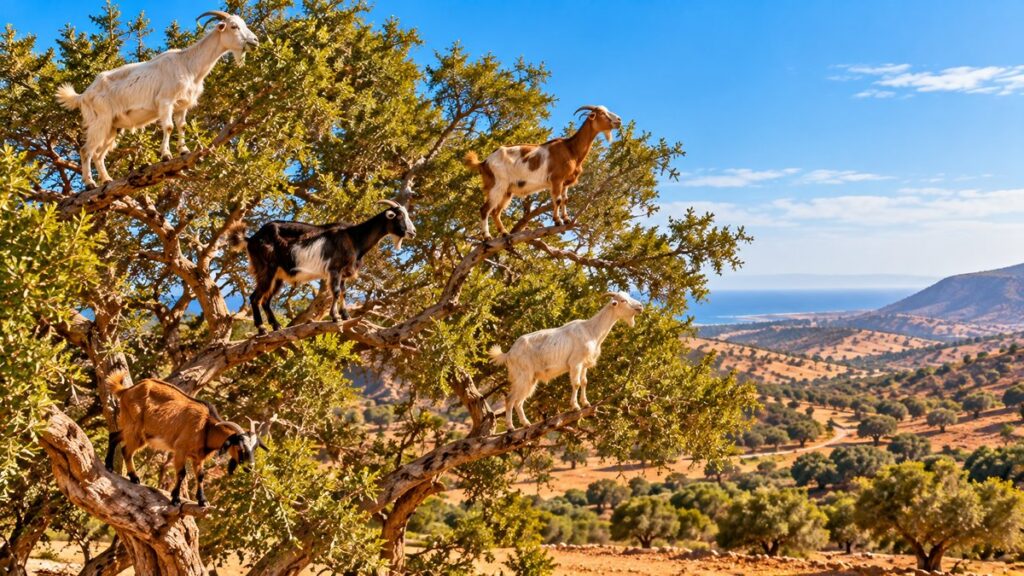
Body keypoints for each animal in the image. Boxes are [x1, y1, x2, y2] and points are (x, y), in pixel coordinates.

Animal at [56, 10, 259, 188]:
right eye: (233, 26)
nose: (255, 41)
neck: (188, 64)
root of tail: (83, 95)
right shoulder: (165, 101)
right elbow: (168, 127)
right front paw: (166, 155)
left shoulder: (181, 105)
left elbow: (182, 126)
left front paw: (184, 150)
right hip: (100, 121)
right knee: (86, 150)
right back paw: (90, 184)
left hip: (113, 127)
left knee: (99, 154)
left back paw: (106, 180)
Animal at [103, 372, 266, 506]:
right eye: (239, 446)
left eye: (255, 447)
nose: (250, 466)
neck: (206, 427)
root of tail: (125, 391)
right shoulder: (180, 449)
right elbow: (182, 473)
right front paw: (175, 499)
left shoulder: (198, 457)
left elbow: (200, 476)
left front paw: (202, 500)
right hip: (135, 429)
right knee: (126, 450)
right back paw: (133, 477)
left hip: (136, 431)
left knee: (114, 436)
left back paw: (110, 466)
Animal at [227, 199, 417, 333]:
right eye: (399, 217)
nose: (413, 232)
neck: (354, 238)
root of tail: (251, 239)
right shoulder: (335, 270)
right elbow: (336, 292)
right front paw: (335, 317)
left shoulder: (343, 273)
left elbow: (343, 292)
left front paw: (345, 315)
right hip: (266, 269)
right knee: (255, 297)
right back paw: (261, 329)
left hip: (278, 275)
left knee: (266, 300)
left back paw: (276, 326)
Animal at [464, 105, 622, 239]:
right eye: (602, 114)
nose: (619, 120)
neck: (571, 149)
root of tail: (484, 162)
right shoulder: (556, 179)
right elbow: (557, 200)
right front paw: (557, 221)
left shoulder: (565, 182)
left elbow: (565, 199)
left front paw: (566, 219)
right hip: (497, 185)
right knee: (485, 210)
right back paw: (487, 237)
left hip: (507, 190)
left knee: (496, 212)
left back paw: (505, 233)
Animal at [489, 291, 643, 430]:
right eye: (623, 300)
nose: (640, 306)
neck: (591, 330)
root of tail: (508, 354)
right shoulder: (576, 363)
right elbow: (576, 383)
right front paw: (575, 407)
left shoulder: (584, 364)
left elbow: (584, 382)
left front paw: (586, 403)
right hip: (523, 375)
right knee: (510, 399)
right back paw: (510, 427)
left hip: (531, 378)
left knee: (519, 401)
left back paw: (526, 424)